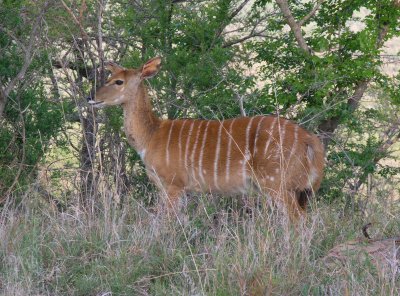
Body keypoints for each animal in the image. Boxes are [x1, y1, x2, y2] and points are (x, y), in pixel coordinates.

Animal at [88, 56, 324, 221]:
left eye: (118, 81)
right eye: (109, 78)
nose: (92, 98)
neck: (151, 136)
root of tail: (311, 141)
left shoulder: (173, 184)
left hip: (278, 183)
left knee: (297, 220)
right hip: (300, 191)